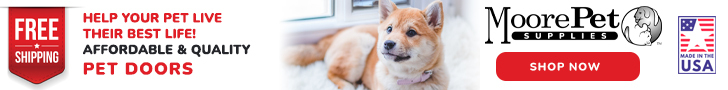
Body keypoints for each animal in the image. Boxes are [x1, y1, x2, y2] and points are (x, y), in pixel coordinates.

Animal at [286, 0, 446, 89]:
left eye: (411, 32)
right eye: (389, 29)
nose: (388, 44)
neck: (407, 80)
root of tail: (337, 34)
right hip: (360, 47)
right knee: (331, 73)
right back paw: (348, 86)